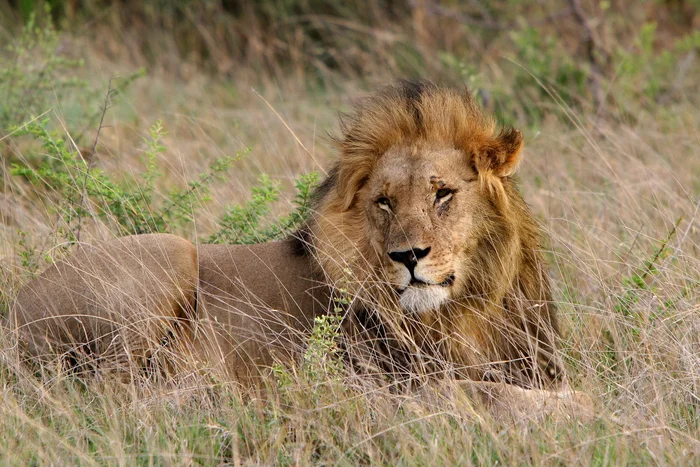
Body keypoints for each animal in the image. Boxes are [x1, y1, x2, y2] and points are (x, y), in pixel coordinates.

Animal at [8, 79, 592, 416]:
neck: (469, 306)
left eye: (442, 193)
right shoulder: (404, 383)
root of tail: (10, 310)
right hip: (167, 253)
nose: (407, 257)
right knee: (114, 395)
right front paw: (581, 409)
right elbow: (495, 393)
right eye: (383, 203)